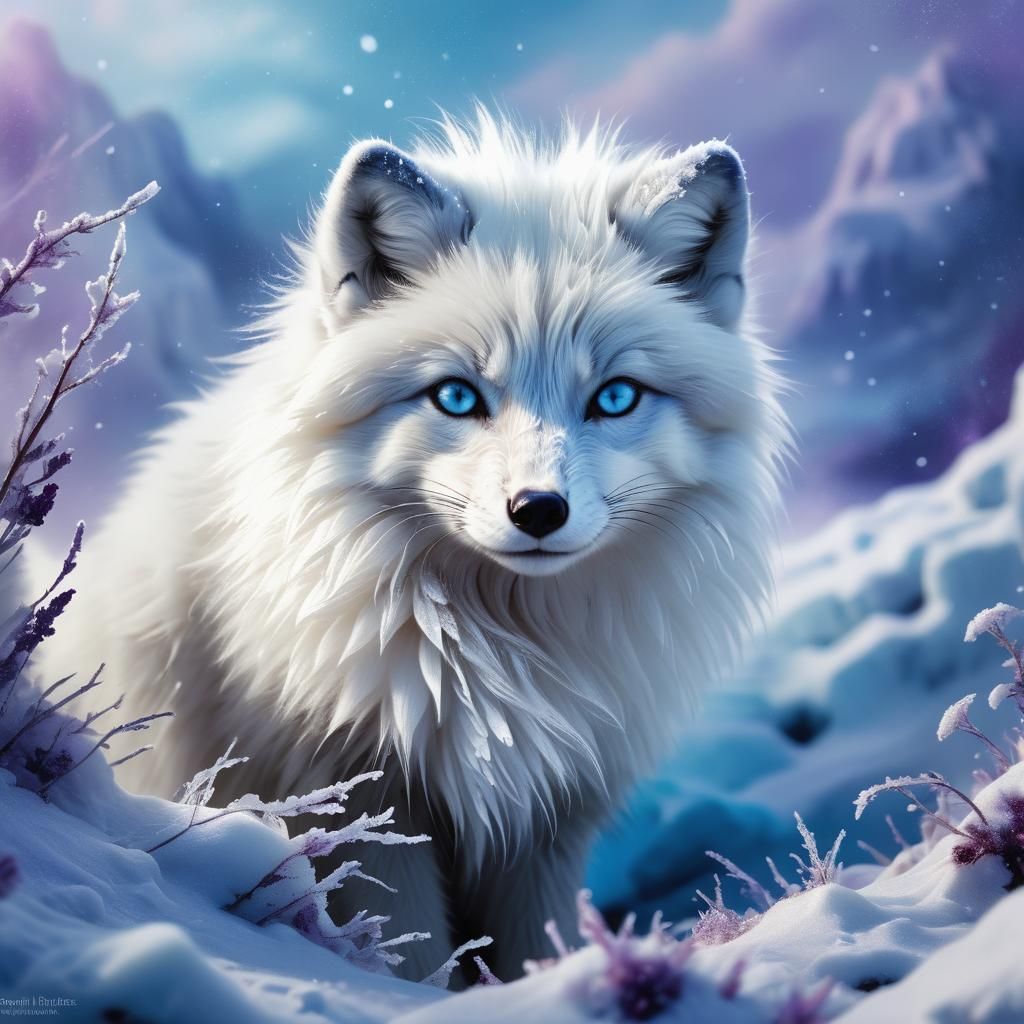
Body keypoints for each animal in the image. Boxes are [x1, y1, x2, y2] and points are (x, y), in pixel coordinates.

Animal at [39, 112, 786, 981]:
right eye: (457, 397)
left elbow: (536, 947)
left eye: (615, 397)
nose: (538, 509)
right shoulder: (366, 805)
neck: (504, 651)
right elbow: (415, 957)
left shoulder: (548, 822)